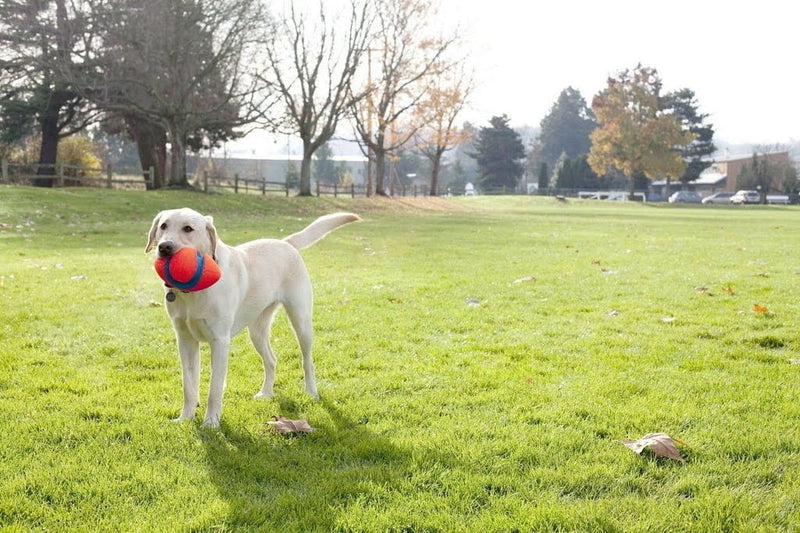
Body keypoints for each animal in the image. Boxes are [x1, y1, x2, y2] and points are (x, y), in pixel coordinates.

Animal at [145, 206, 360, 426]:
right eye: (163, 226)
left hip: (301, 322)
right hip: (256, 332)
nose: (164, 247)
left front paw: (211, 422)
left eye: (188, 228)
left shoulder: (219, 341)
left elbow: (214, 389)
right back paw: (266, 393)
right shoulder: (185, 341)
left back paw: (311, 391)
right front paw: (185, 418)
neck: (194, 290)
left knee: (307, 361)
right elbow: (188, 386)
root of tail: (285, 242)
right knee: (271, 360)